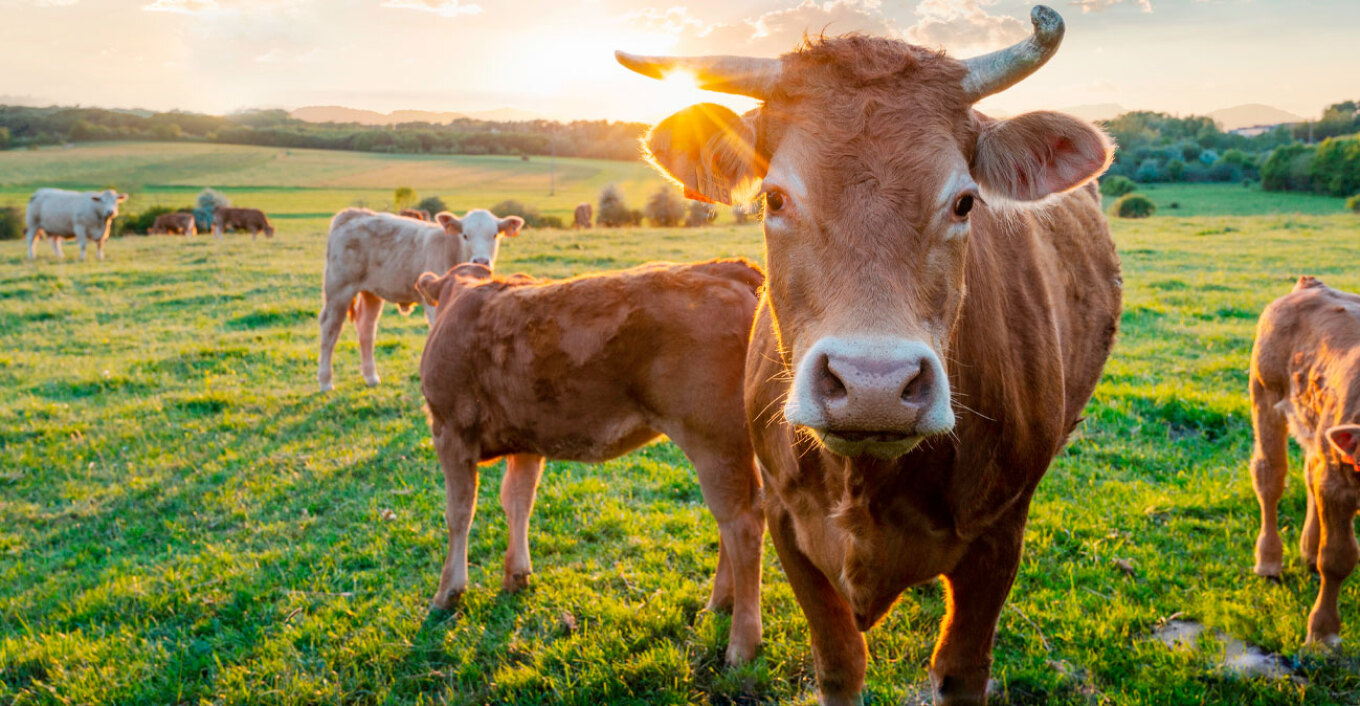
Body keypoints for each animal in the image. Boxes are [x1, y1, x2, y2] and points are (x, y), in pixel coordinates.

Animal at [315, 206, 522, 391]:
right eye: (465, 235)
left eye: (494, 235)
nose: (481, 261)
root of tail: (353, 214)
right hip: (338, 288)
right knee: (330, 328)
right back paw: (325, 381)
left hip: (371, 292)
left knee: (366, 327)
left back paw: (371, 377)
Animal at [413, 258, 772, 663]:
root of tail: (721, 268)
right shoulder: (525, 442)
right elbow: (517, 501)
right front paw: (515, 575)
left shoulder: (449, 432)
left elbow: (459, 513)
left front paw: (447, 593)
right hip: (731, 445)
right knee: (733, 520)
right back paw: (718, 605)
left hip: (713, 440)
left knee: (742, 524)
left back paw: (741, 644)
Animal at [622, 4, 1120, 701]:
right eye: (775, 197)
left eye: (964, 201)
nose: (874, 385)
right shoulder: (788, 523)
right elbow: (838, 661)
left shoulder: (1000, 537)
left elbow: (961, 668)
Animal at [1245, 274, 1360, 647]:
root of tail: (1311, 285)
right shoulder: (1340, 483)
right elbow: (1338, 557)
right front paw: (1323, 633)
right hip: (1265, 394)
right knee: (1269, 477)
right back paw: (1269, 562)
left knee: (1311, 474)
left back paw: (1308, 551)